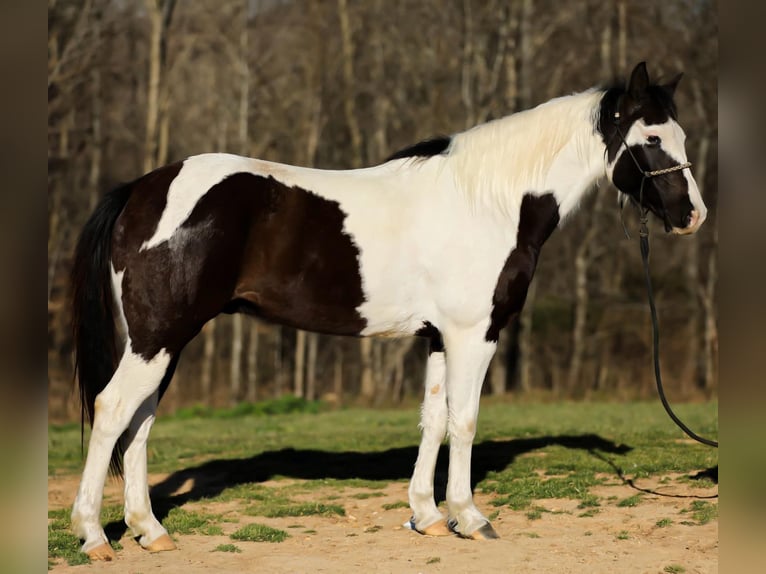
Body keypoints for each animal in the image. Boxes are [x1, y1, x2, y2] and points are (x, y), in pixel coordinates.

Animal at [69, 62, 707, 559]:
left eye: (680, 134)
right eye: (652, 138)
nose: (692, 215)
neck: (490, 200)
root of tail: (140, 190)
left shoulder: (439, 337)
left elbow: (433, 420)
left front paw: (427, 515)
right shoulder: (475, 334)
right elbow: (464, 420)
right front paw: (470, 518)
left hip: (164, 341)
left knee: (140, 421)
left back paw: (149, 531)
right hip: (157, 337)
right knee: (112, 410)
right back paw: (94, 536)